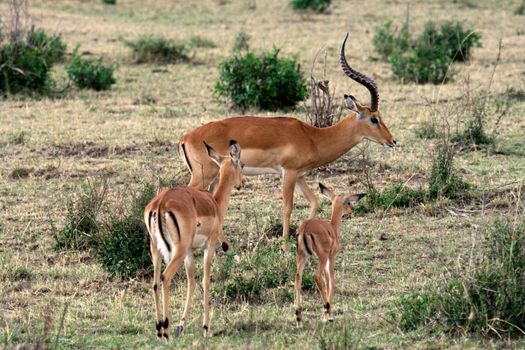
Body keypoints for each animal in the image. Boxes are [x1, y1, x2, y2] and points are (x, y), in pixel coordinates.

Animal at [143, 139, 242, 340]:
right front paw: (206, 327)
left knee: (155, 283)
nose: (241, 183)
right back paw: (166, 329)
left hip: (156, 250)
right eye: (241, 165)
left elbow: (192, 282)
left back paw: (158, 329)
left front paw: (182, 325)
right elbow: (205, 281)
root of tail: (160, 203)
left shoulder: (189, 253)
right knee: (165, 278)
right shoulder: (209, 246)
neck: (214, 203)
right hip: (177, 251)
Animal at [294, 183, 364, 326]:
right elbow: (331, 281)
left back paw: (299, 318)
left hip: (302, 256)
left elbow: (327, 281)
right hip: (322, 257)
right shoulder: (331, 257)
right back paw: (326, 307)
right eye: (348, 202)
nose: (352, 209)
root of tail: (304, 229)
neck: (332, 228)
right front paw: (328, 316)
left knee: (298, 279)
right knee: (317, 277)